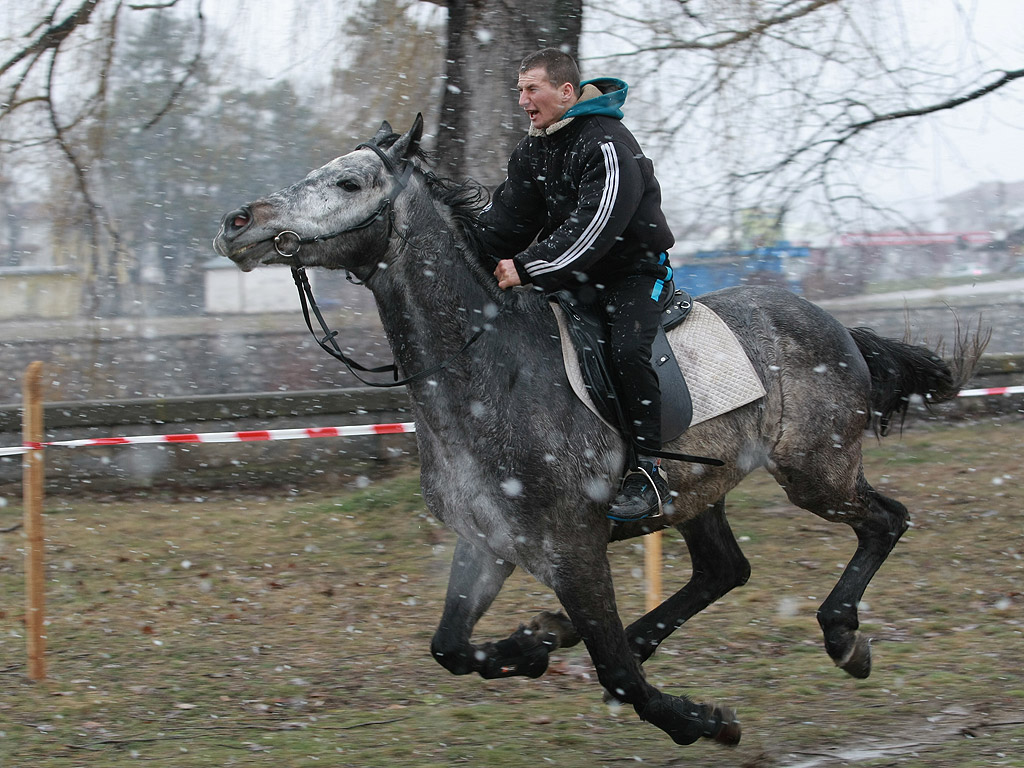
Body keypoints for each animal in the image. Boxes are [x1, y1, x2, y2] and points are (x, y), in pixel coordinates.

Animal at [211, 117, 978, 749]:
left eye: (348, 181)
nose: (236, 221)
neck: (484, 373)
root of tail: (835, 325)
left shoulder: (573, 549)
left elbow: (616, 674)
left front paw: (703, 721)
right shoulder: (489, 542)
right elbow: (451, 648)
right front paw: (534, 640)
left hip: (816, 472)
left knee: (885, 520)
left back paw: (845, 638)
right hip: (701, 488)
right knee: (724, 569)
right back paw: (597, 636)